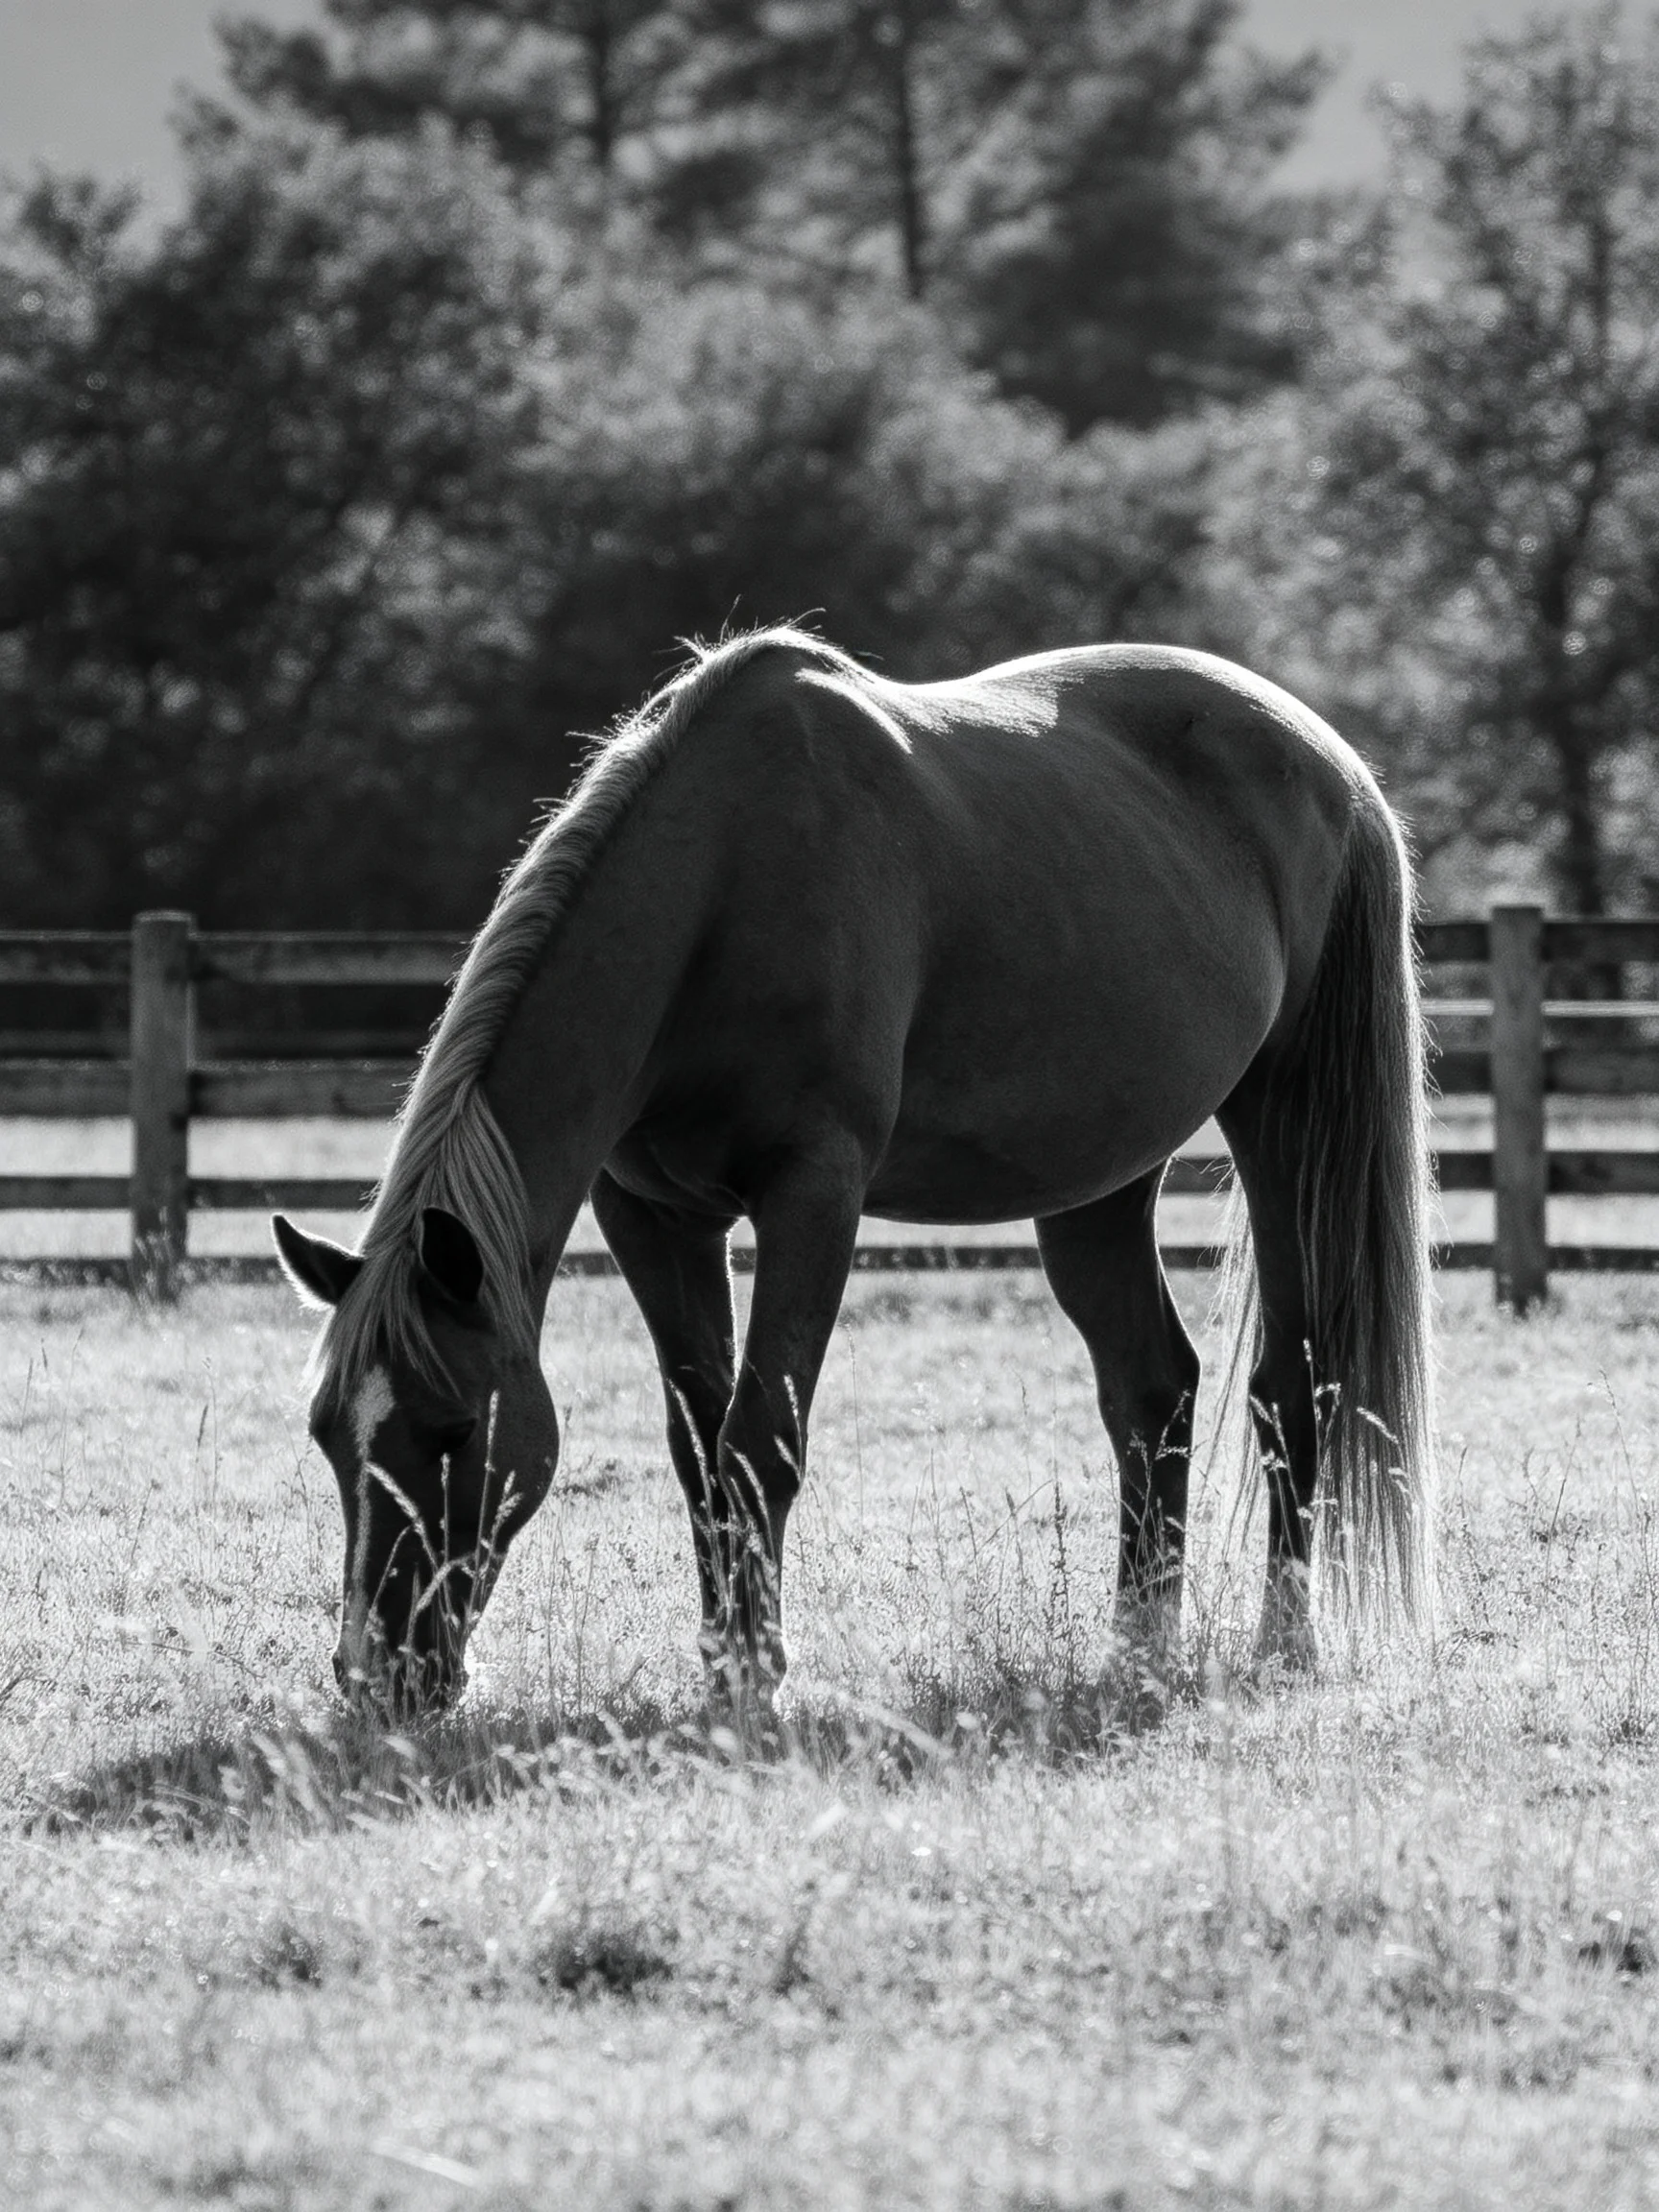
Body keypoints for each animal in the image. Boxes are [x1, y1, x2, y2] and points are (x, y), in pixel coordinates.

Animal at [272, 625, 1435, 1715]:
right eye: (329, 1433)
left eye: (452, 1428)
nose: (377, 1678)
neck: (723, 886)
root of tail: (1327, 761)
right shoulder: (652, 1213)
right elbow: (701, 1449)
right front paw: (724, 1662)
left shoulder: (814, 1196)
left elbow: (762, 1440)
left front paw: (755, 1681)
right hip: (1102, 1179)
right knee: (1153, 1392)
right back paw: (1136, 1652)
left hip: (1286, 1123)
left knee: (1291, 1384)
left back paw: (1285, 1643)